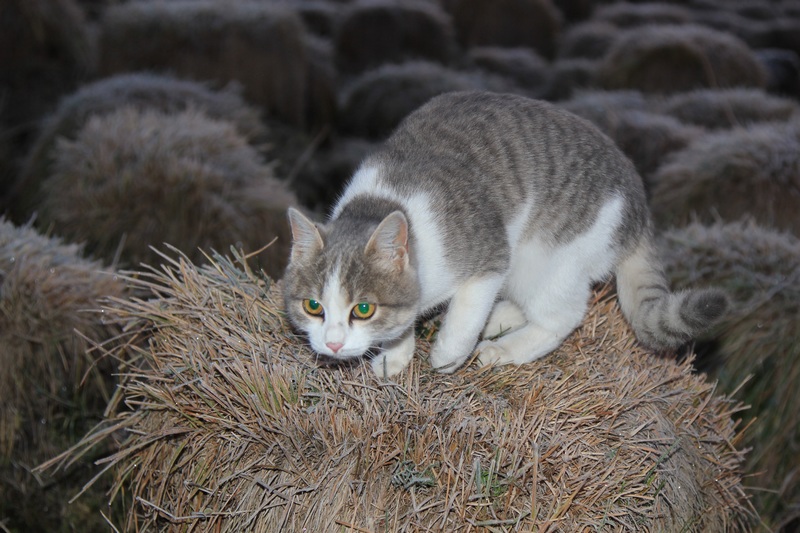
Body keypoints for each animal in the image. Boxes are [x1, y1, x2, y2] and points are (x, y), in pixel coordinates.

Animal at [284, 91, 728, 376]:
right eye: (313, 307)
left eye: (362, 309)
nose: (333, 344)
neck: (386, 200)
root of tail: (639, 207)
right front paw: (395, 354)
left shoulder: (491, 257)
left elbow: (466, 314)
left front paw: (446, 353)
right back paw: (500, 317)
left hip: (546, 256)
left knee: (562, 315)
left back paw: (501, 347)